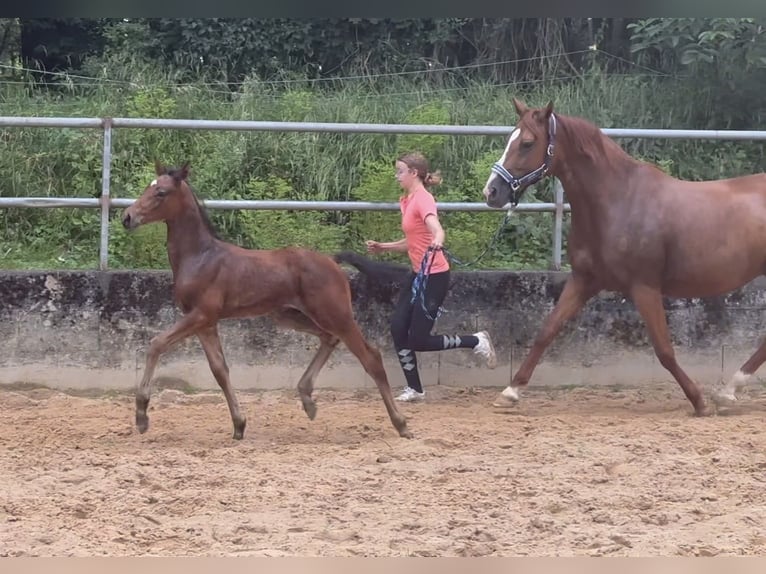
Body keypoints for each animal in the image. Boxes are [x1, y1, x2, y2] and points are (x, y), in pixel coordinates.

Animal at [123, 161, 414, 440]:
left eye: (161, 192)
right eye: (149, 187)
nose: (127, 217)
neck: (201, 257)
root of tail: (332, 261)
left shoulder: (201, 314)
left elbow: (156, 344)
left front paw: (142, 416)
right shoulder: (206, 323)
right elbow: (220, 370)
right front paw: (239, 424)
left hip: (336, 314)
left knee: (371, 357)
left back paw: (401, 424)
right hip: (289, 315)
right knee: (329, 338)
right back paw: (307, 398)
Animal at [486, 98, 766, 414]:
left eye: (527, 143)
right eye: (510, 139)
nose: (491, 191)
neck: (618, 201)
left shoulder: (644, 287)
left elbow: (664, 350)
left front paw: (699, 401)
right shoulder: (584, 281)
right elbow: (547, 330)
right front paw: (510, 392)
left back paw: (727, 392)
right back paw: (729, 392)